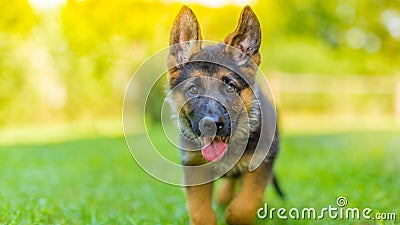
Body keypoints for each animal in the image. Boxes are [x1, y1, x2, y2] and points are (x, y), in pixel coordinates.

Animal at [167, 5, 280, 225]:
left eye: (230, 87)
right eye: (193, 90)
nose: (210, 124)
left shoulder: (261, 163)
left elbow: (244, 205)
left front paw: (234, 216)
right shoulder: (194, 167)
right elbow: (200, 212)